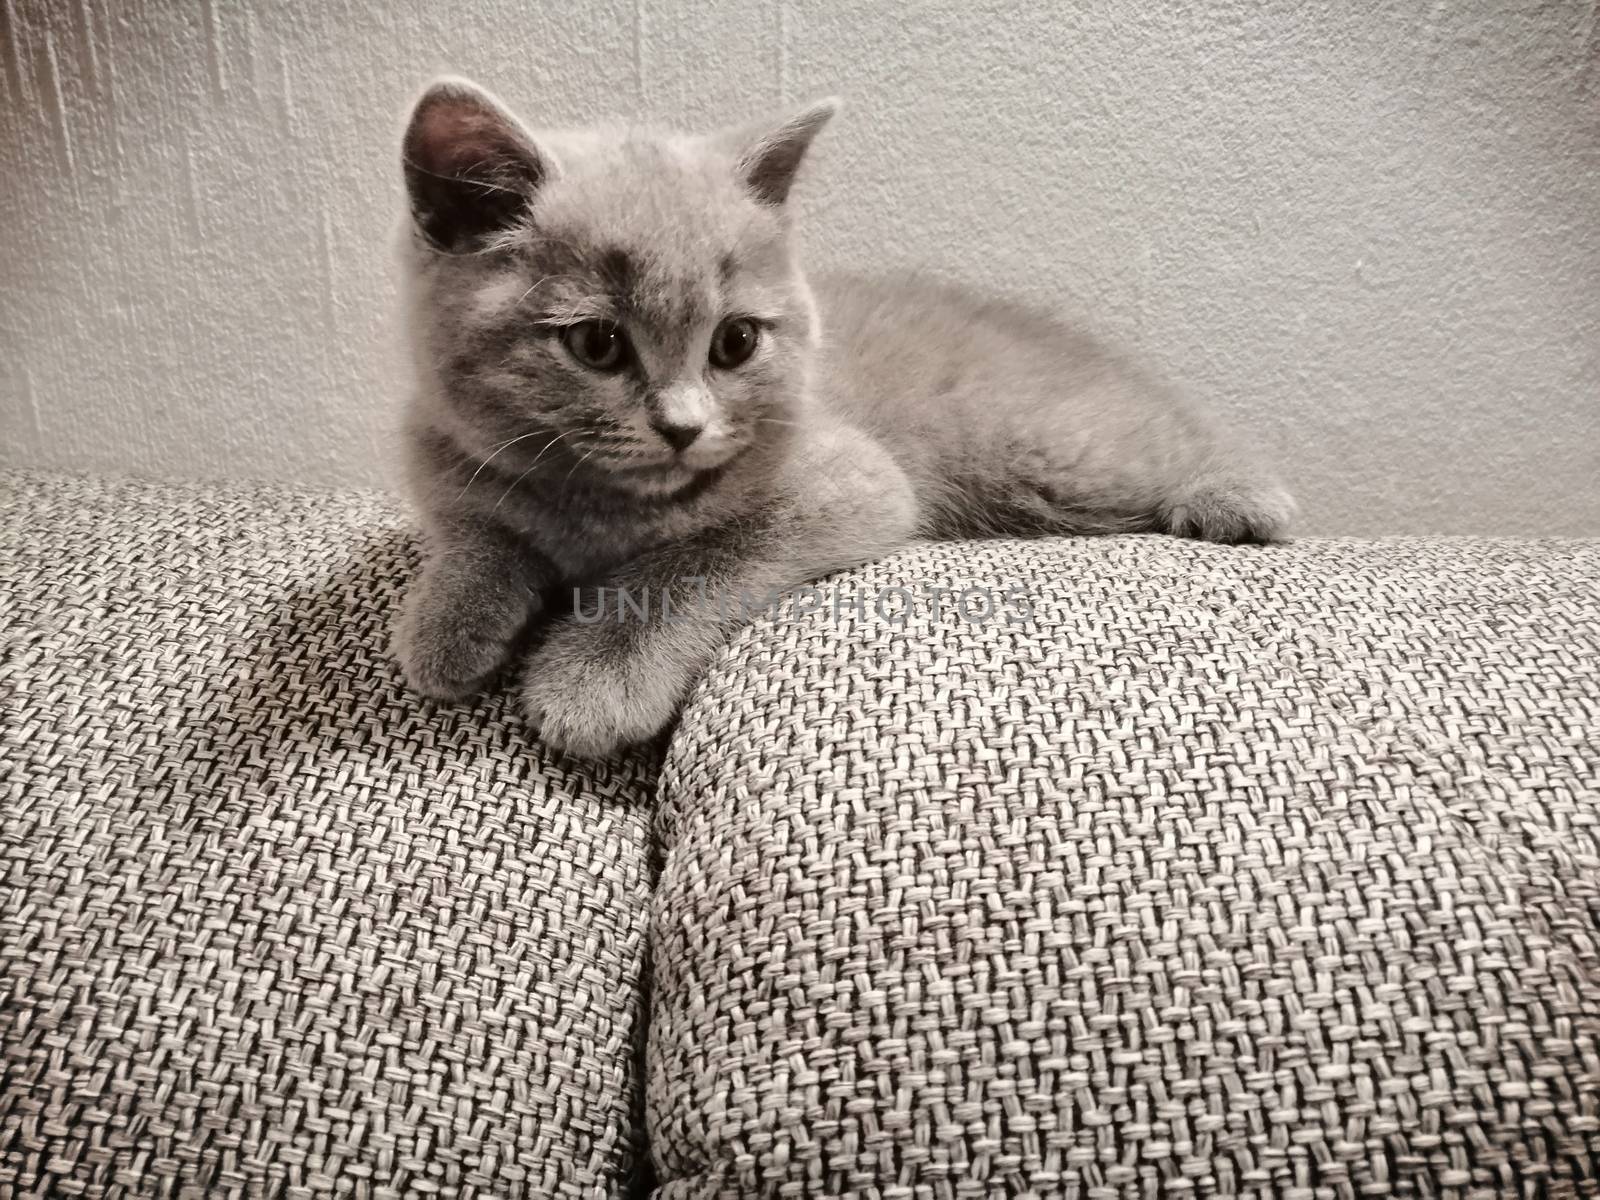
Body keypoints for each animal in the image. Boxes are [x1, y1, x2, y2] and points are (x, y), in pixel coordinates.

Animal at [393, 75, 1292, 755]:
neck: (600, 503)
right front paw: (450, 622)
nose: (683, 428)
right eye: (596, 343)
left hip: (1052, 455)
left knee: (1171, 437)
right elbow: (479, 533)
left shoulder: (851, 483)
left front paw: (592, 677)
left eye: (735, 342)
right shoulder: (448, 459)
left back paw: (1238, 498)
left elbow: (692, 561)